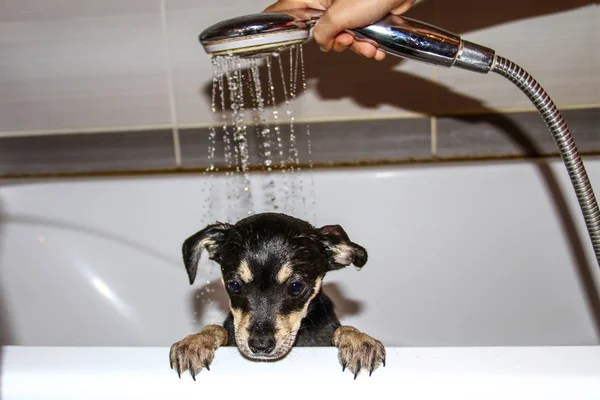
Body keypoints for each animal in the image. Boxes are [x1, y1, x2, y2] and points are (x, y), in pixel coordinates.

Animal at [169, 212, 384, 378]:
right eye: (234, 285)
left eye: (296, 287)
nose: (260, 346)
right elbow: (217, 328)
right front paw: (195, 342)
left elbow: (342, 329)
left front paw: (358, 341)